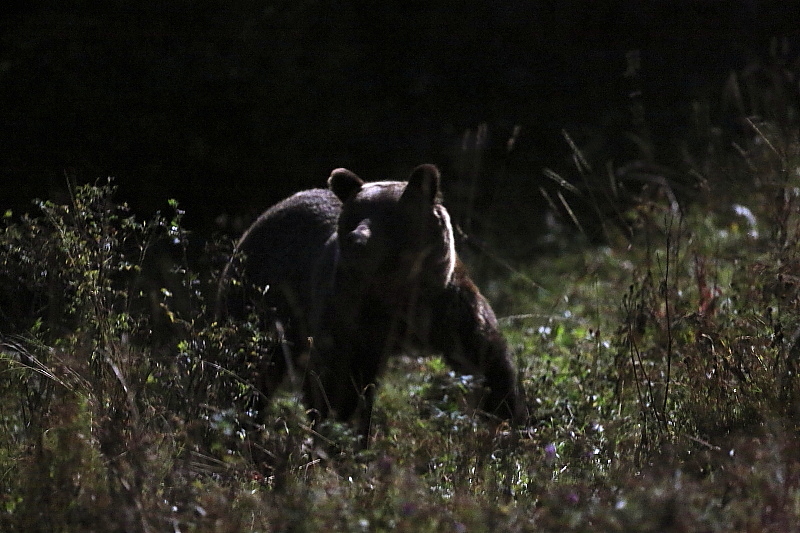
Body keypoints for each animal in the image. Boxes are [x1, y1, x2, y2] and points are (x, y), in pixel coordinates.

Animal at [216, 164, 520, 438]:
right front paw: (341, 435)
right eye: (353, 217)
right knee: (249, 365)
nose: (356, 240)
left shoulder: (446, 307)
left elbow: (487, 359)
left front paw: (508, 421)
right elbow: (338, 385)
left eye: (390, 218)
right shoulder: (350, 316)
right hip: (264, 298)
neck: (395, 293)